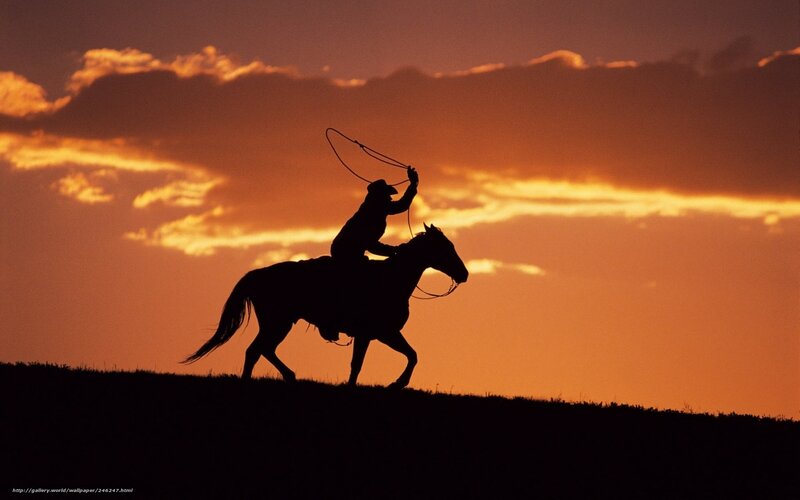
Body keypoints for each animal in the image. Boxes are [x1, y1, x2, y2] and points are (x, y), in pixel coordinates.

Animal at [182, 224, 469, 389]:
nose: (464, 274)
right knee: (256, 350)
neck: (391, 279)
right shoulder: (375, 334)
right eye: (445, 247)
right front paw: (394, 384)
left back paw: (289, 376)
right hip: (277, 322)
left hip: (280, 323)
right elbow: (362, 363)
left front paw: (395, 384)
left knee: (263, 350)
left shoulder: (382, 334)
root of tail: (259, 274)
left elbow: (411, 355)